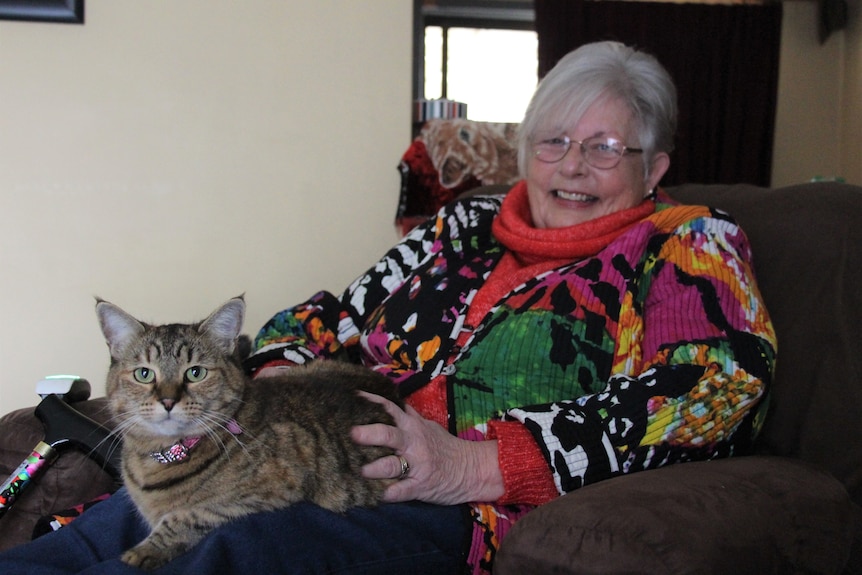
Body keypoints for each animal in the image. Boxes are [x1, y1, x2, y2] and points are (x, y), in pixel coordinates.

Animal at [97, 296, 402, 572]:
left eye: (195, 373)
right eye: (144, 374)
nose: (168, 401)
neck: (166, 453)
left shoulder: (269, 493)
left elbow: (190, 515)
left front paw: (145, 551)